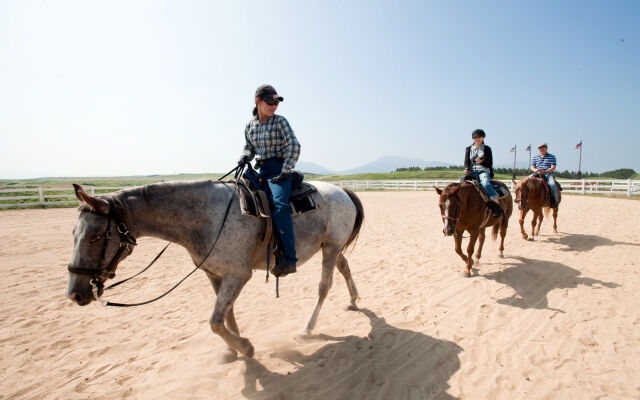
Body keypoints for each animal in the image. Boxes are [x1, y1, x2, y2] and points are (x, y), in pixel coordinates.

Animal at [67, 180, 364, 360]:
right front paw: (233, 349)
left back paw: (307, 329)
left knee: (324, 286)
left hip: (331, 247)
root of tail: (342, 190)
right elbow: (225, 314)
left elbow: (214, 321)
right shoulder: (214, 274)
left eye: (95, 236)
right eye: (73, 233)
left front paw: (244, 346)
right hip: (332, 248)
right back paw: (353, 301)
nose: (74, 293)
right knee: (345, 267)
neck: (206, 217)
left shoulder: (238, 275)